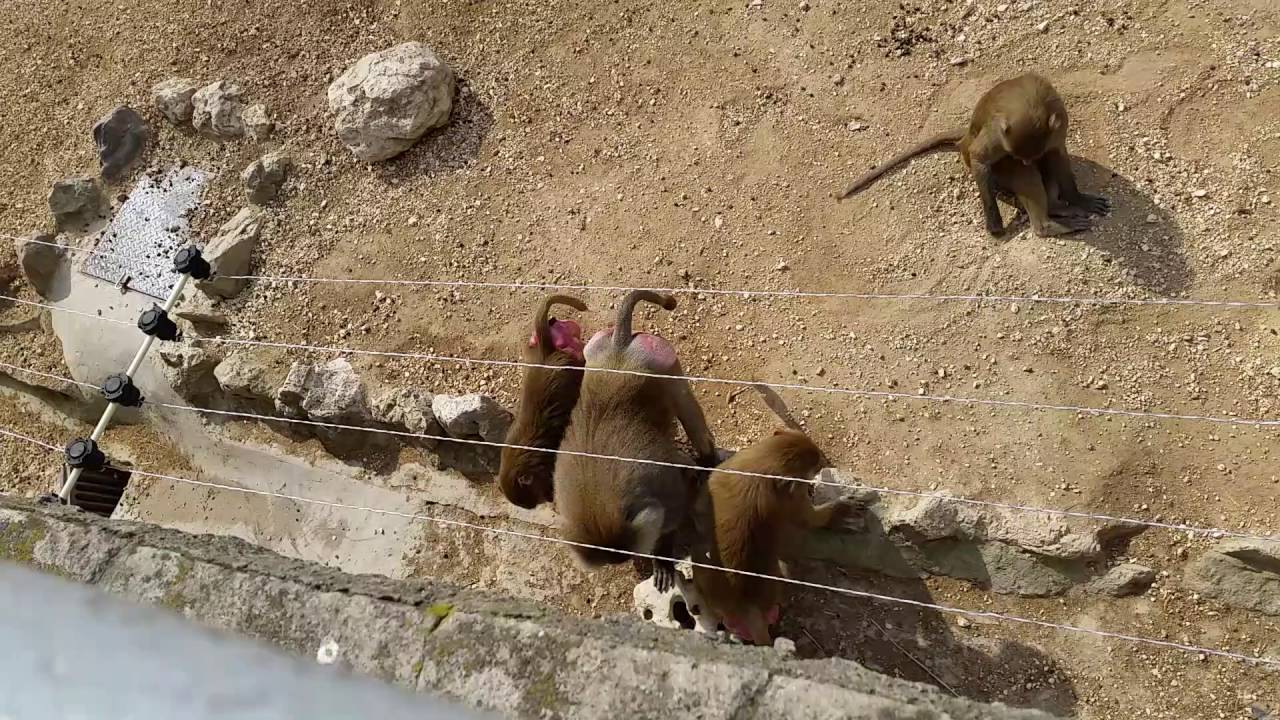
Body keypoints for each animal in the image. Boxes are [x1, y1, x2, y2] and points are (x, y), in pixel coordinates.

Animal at [553, 290, 718, 593]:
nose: (628, 563)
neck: (598, 499)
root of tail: (619, 346)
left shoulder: (663, 487)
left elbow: (671, 517)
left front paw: (662, 561)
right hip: (597, 351)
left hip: (661, 358)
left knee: (683, 404)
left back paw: (707, 459)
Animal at [690, 428, 854, 646]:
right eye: (813, 468)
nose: (823, 465)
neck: (764, 465)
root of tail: (745, 605)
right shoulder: (792, 493)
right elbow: (807, 519)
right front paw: (836, 513)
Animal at [835, 73, 1110, 238]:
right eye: (1019, 154)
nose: (1025, 159)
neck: (1030, 103)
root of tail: (964, 138)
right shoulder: (999, 137)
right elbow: (981, 158)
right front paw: (995, 225)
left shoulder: (1058, 123)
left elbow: (1057, 153)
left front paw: (1078, 199)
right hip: (993, 166)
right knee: (1020, 173)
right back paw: (1046, 225)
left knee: (1047, 162)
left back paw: (1056, 207)